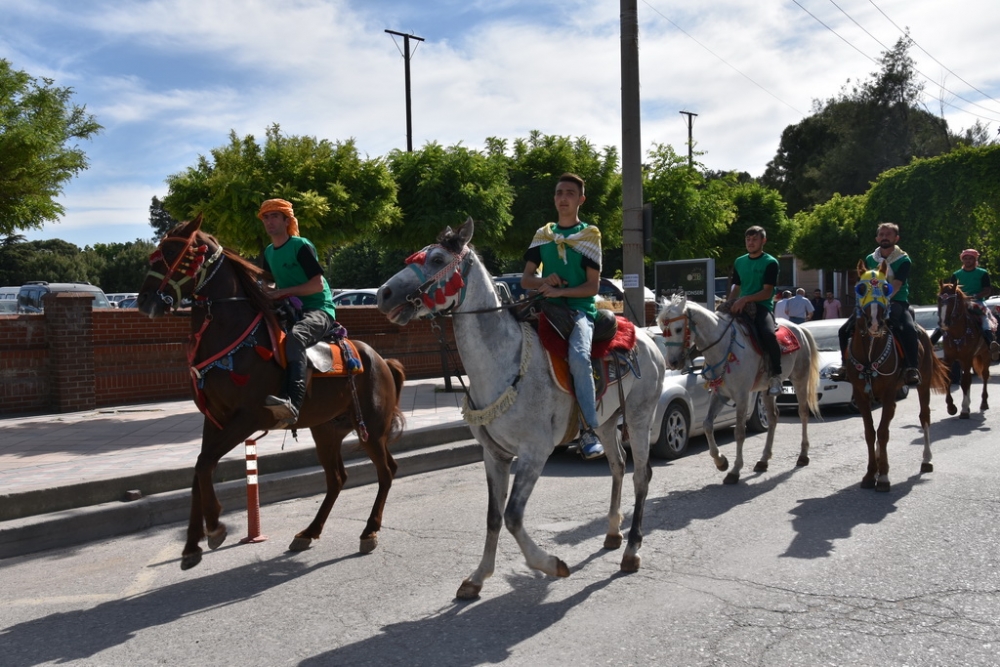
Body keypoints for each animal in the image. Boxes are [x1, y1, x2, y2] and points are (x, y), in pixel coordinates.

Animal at [135, 217, 404, 572]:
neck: (231, 332)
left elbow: (205, 464)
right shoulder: (216, 418)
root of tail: (382, 360)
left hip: (371, 428)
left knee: (386, 472)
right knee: (337, 478)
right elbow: (199, 468)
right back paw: (309, 532)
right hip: (326, 429)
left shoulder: (248, 417)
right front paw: (193, 544)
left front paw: (215, 526)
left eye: (175, 252)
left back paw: (369, 531)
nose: (144, 300)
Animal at [378, 219, 668, 600]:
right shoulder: (494, 454)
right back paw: (611, 533)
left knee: (641, 475)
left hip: (639, 415)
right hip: (606, 421)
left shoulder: (534, 452)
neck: (504, 363)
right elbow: (493, 515)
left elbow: (513, 515)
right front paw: (478, 577)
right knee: (618, 465)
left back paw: (632, 550)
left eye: (438, 258)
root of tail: (648, 337)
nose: (383, 294)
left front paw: (551, 564)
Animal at [656, 292, 820, 486]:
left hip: (800, 378)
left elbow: (739, 432)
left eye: (679, 329)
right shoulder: (719, 394)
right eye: (663, 329)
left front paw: (734, 470)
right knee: (773, 417)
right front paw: (721, 461)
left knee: (803, 413)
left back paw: (803, 455)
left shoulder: (742, 396)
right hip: (767, 389)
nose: (672, 362)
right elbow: (707, 425)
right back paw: (763, 460)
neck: (723, 348)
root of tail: (799, 329)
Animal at [848, 264, 948, 490]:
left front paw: (883, 476)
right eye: (861, 288)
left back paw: (926, 460)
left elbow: (883, 432)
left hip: (923, 384)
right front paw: (870, 474)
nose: (874, 323)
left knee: (924, 416)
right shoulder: (861, 395)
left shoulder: (887, 394)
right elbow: (871, 432)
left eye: (886, 287)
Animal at [936, 284, 992, 420]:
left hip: (985, 354)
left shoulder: (966, 358)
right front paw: (951, 407)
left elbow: (965, 382)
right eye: (939, 299)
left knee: (985, 375)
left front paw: (964, 409)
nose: (943, 323)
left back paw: (984, 403)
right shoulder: (949, 358)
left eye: (952, 301)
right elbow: (948, 380)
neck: (957, 333)